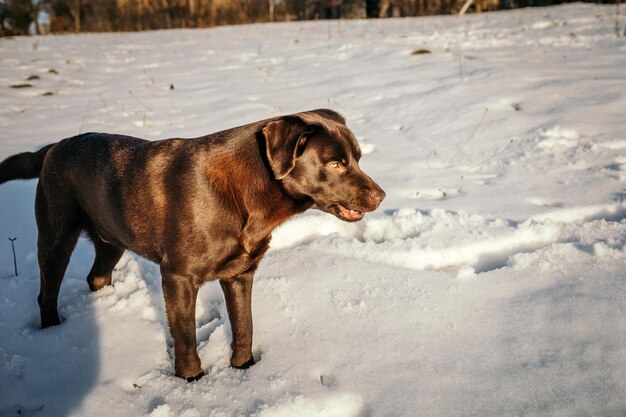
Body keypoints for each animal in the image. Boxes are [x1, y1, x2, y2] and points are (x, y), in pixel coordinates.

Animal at [0, 109, 382, 380]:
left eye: (358, 158)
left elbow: (244, 326)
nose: (381, 195)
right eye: (335, 163)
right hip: (56, 236)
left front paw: (243, 369)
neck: (246, 193)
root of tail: (52, 148)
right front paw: (192, 380)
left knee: (96, 276)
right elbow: (185, 337)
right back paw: (53, 334)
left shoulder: (240, 274)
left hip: (112, 237)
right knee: (46, 293)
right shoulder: (178, 277)